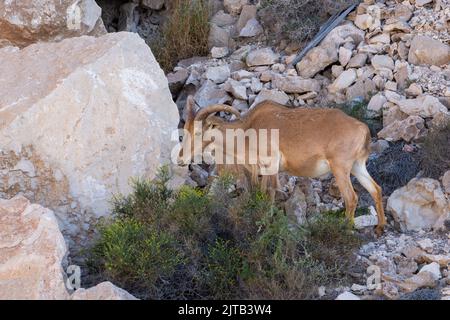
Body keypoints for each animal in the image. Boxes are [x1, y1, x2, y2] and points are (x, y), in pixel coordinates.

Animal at [178, 97, 384, 235]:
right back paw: (380, 227)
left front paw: (265, 223)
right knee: (376, 189)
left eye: (198, 132)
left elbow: (270, 192)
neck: (248, 131)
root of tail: (363, 130)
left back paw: (345, 229)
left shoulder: (271, 165)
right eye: (186, 130)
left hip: (340, 168)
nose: (181, 159)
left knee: (351, 197)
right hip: (357, 166)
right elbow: (262, 192)